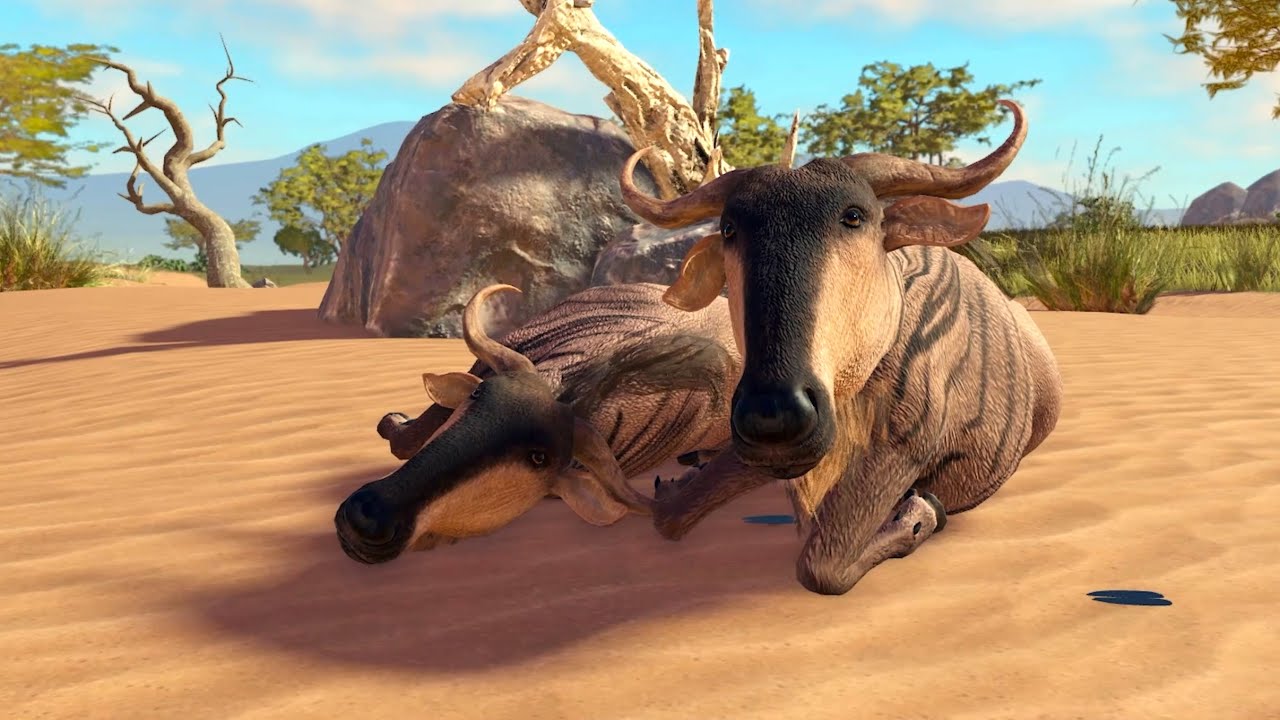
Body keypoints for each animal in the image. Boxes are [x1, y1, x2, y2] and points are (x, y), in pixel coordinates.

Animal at [617, 100, 1063, 595]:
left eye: (854, 216)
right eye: (730, 228)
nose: (773, 418)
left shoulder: (899, 452)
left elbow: (822, 565)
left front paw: (918, 516)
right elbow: (668, 514)